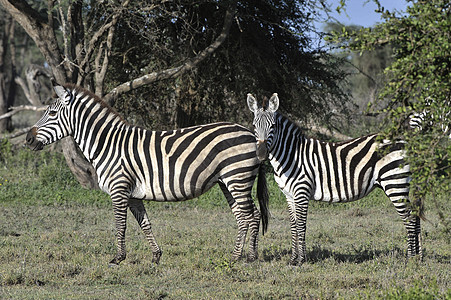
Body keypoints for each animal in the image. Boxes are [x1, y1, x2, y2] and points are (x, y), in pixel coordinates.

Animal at [26, 82, 270, 264]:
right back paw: (242, 255)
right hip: (226, 181)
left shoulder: (119, 188)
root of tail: (251, 134)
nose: (28, 139)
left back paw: (245, 257)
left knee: (251, 215)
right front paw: (156, 256)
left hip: (238, 177)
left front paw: (118, 258)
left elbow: (120, 224)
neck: (108, 144)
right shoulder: (133, 193)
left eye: (52, 113)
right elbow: (145, 223)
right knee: (245, 216)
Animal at [247, 93, 424, 264]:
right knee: (415, 217)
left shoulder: (302, 192)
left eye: (273, 126)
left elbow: (301, 226)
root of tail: (406, 142)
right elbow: (293, 226)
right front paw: (293, 259)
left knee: (409, 219)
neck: (291, 155)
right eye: (254, 126)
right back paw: (418, 258)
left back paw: (410, 259)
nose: (261, 154)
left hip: (395, 182)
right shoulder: (289, 196)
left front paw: (301, 260)